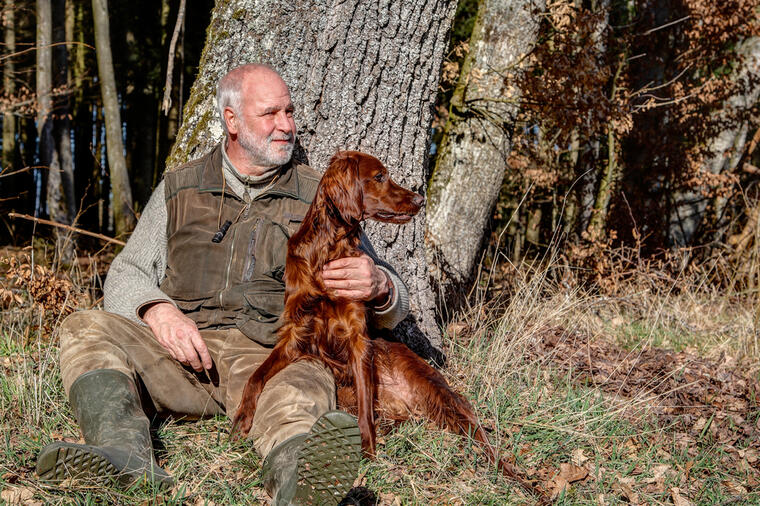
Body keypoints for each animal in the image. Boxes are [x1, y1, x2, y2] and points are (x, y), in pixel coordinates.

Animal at [232, 150, 548, 502]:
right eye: (379, 176)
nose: (420, 199)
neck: (329, 249)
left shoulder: (356, 334)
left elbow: (365, 407)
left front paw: (367, 453)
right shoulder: (296, 331)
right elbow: (256, 376)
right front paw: (242, 418)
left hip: (435, 389)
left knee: (482, 440)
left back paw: (528, 485)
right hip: (347, 393)